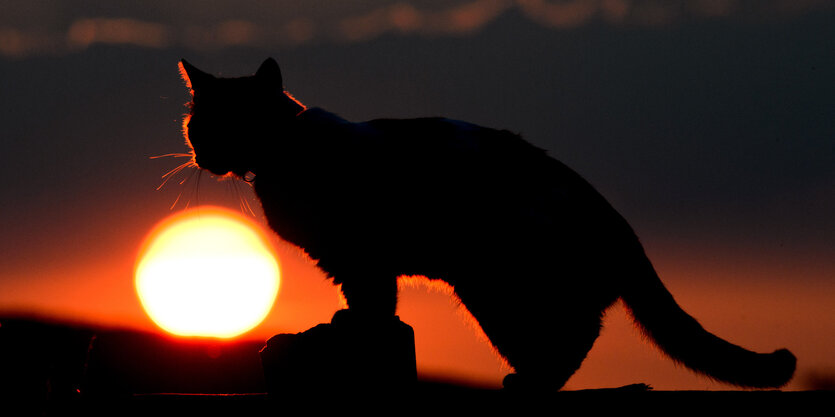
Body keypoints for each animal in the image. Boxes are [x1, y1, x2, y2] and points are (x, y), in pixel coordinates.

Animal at [178, 57, 796, 388]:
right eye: (200, 125)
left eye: (231, 120)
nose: (205, 154)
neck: (282, 157)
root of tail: (616, 219)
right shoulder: (347, 259)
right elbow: (365, 300)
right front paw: (345, 323)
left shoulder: (364, 252)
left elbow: (374, 303)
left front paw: (355, 329)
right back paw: (530, 379)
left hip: (499, 284)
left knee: (579, 332)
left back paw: (533, 381)